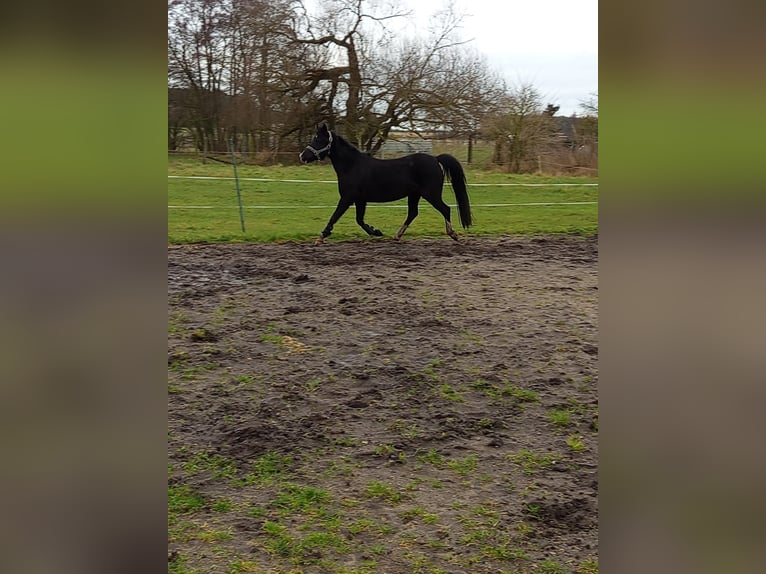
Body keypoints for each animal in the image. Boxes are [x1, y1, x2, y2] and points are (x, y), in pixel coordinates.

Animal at [302, 123, 474, 243]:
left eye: (318, 139)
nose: (302, 156)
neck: (352, 166)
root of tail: (436, 159)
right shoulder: (360, 200)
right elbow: (359, 220)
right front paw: (376, 231)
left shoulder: (347, 198)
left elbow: (335, 216)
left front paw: (321, 237)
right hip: (414, 195)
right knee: (413, 213)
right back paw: (397, 236)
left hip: (430, 194)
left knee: (445, 209)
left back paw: (453, 234)